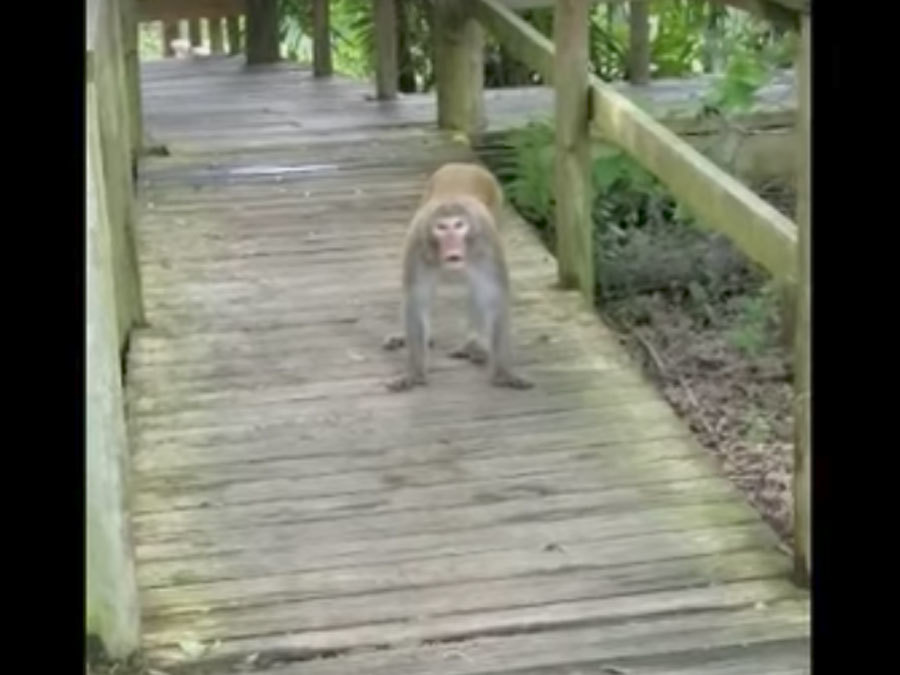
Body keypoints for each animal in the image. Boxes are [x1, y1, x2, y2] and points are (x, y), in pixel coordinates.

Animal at [384, 162, 532, 392]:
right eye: (441, 227)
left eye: (459, 225)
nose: (452, 243)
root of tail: (465, 165)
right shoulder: (417, 242)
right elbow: (416, 299)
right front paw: (415, 373)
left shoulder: (487, 242)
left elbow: (495, 297)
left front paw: (503, 373)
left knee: (477, 287)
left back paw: (473, 344)